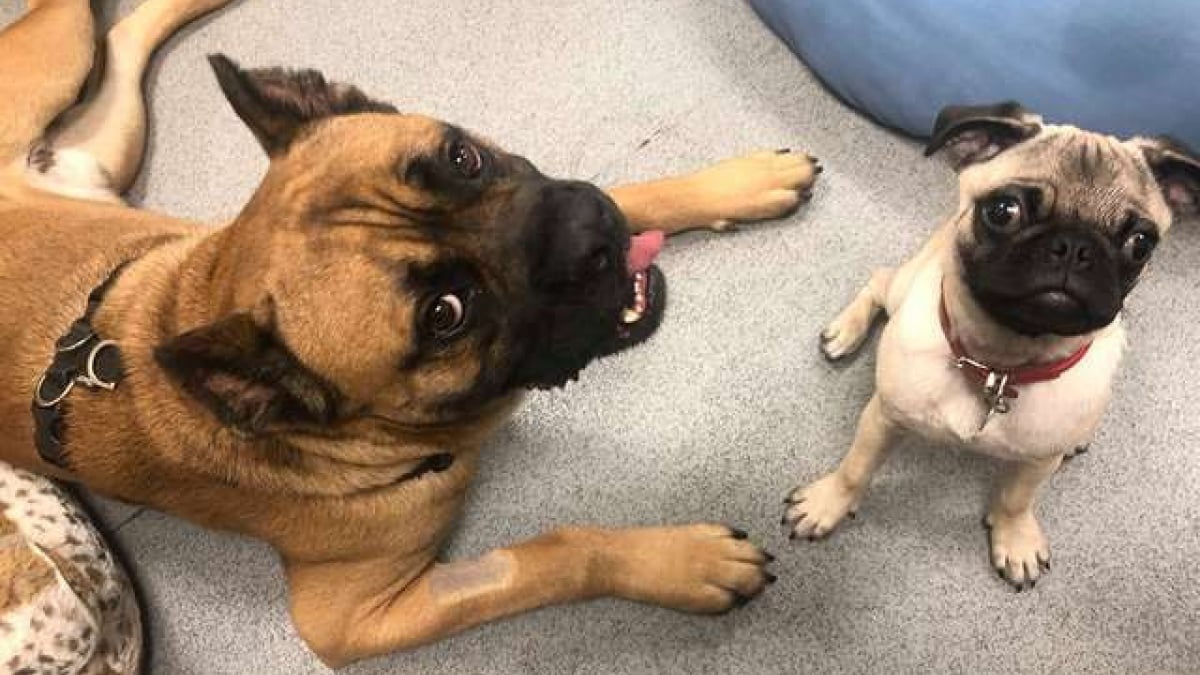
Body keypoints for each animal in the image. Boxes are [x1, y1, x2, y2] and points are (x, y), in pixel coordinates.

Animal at [0, 0, 816, 662]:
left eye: (464, 156)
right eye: (444, 314)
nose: (592, 237)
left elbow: (635, 189)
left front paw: (733, 183)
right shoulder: (359, 618)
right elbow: (552, 556)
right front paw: (684, 563)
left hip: (106, 138)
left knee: (122, 34)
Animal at [782, 102, 1195, 586]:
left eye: (1141, 244)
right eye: (1003, 211)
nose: (1073, 247)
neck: (1000, 365)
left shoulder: (1038, 461)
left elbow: (1016, 499)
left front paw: (1014, 539)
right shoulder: (884, 417)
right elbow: (855, 468)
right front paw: (827, 503)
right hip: (902, 286)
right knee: (880, 280)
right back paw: (844, 332)